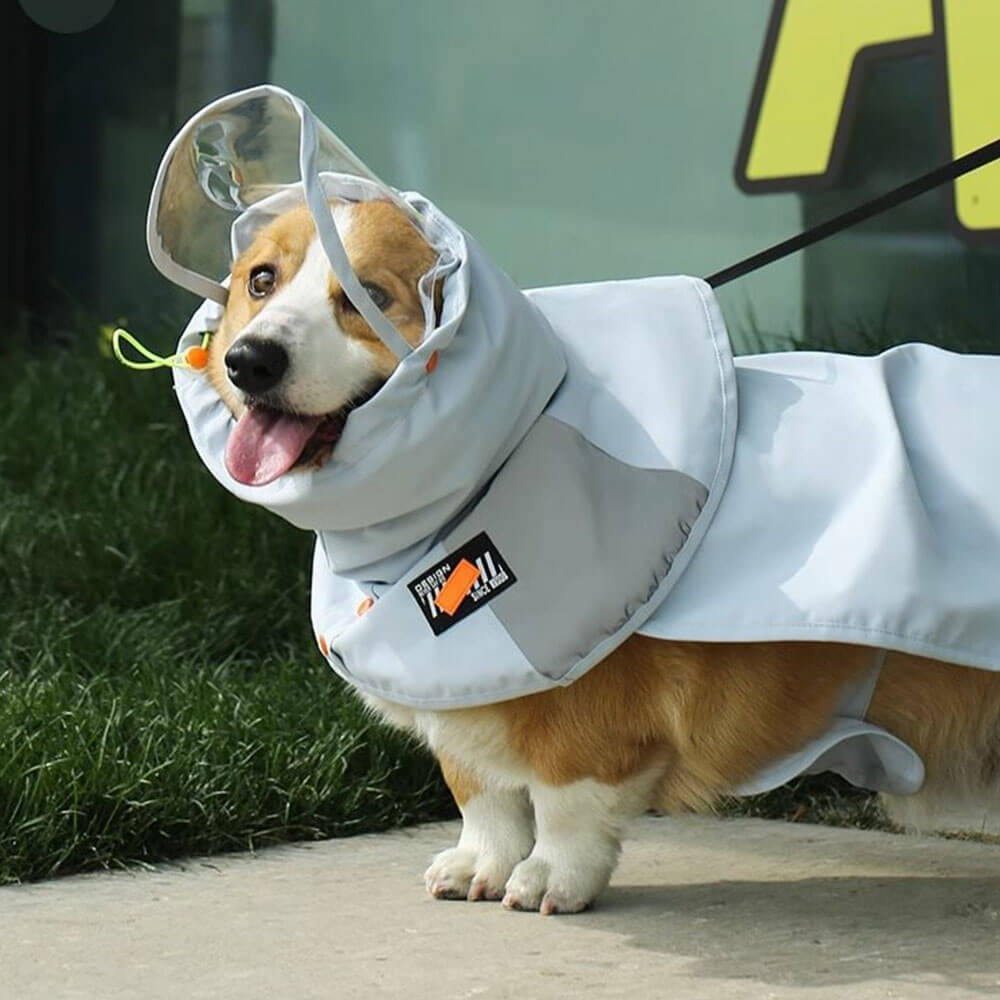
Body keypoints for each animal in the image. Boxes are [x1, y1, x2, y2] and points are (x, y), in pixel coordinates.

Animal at [209, 199, 1000, 916]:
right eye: (260, 280)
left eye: (370, 296)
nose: (249, 361)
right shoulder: (460, 712)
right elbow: (483, 796)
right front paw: (480, 864)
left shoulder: (588, 720)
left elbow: (564, 808)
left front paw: (549, 880)